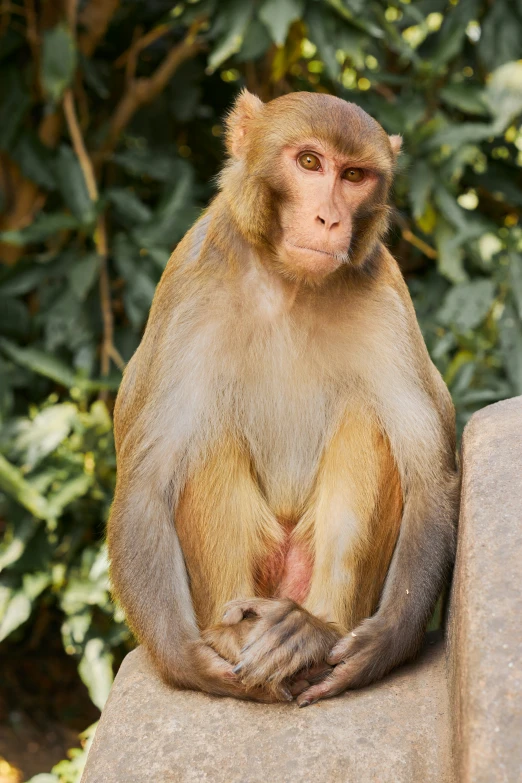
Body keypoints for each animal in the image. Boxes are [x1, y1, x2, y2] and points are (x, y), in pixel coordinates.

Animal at [107, 89, 458, 708]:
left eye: (354, 175)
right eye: (310, 163)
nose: (329, 218)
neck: (290, 285)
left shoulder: (388, 299)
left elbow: (429, 473)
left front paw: (382, 645)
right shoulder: (186, 292)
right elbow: (146, 482)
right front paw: (191, 662)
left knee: (367, 424)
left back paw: (311, 632)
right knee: (207, 435)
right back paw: (235, 634)